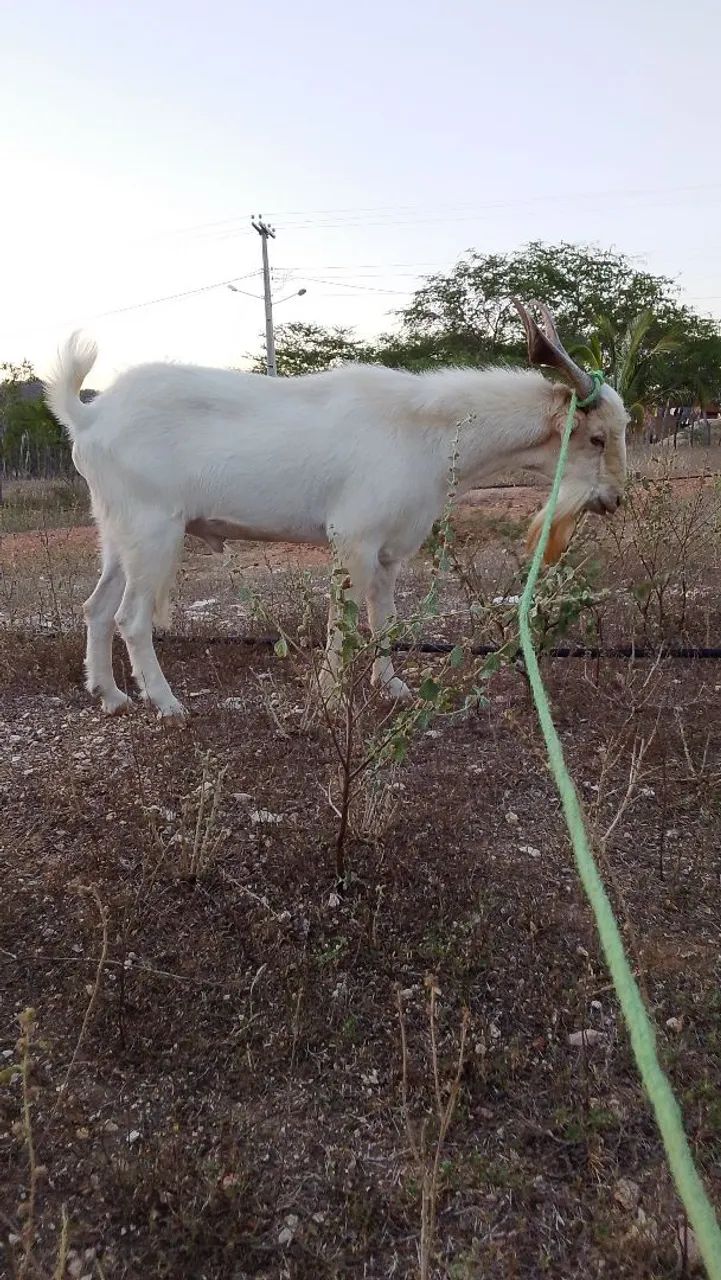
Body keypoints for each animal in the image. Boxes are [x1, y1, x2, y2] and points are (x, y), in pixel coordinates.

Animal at [45, 301, 628, 718]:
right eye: (597, 438)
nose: (614, 499)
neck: (430, 433)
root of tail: (89, 417)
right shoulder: (352, 537)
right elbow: (342, 624)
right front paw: (328, 698)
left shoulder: (390, 552)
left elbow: (382, 619)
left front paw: (393, 687)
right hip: (153, 529)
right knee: (130, 617)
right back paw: (166, 704)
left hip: (115, 530)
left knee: (96, 607)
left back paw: (111, 696)